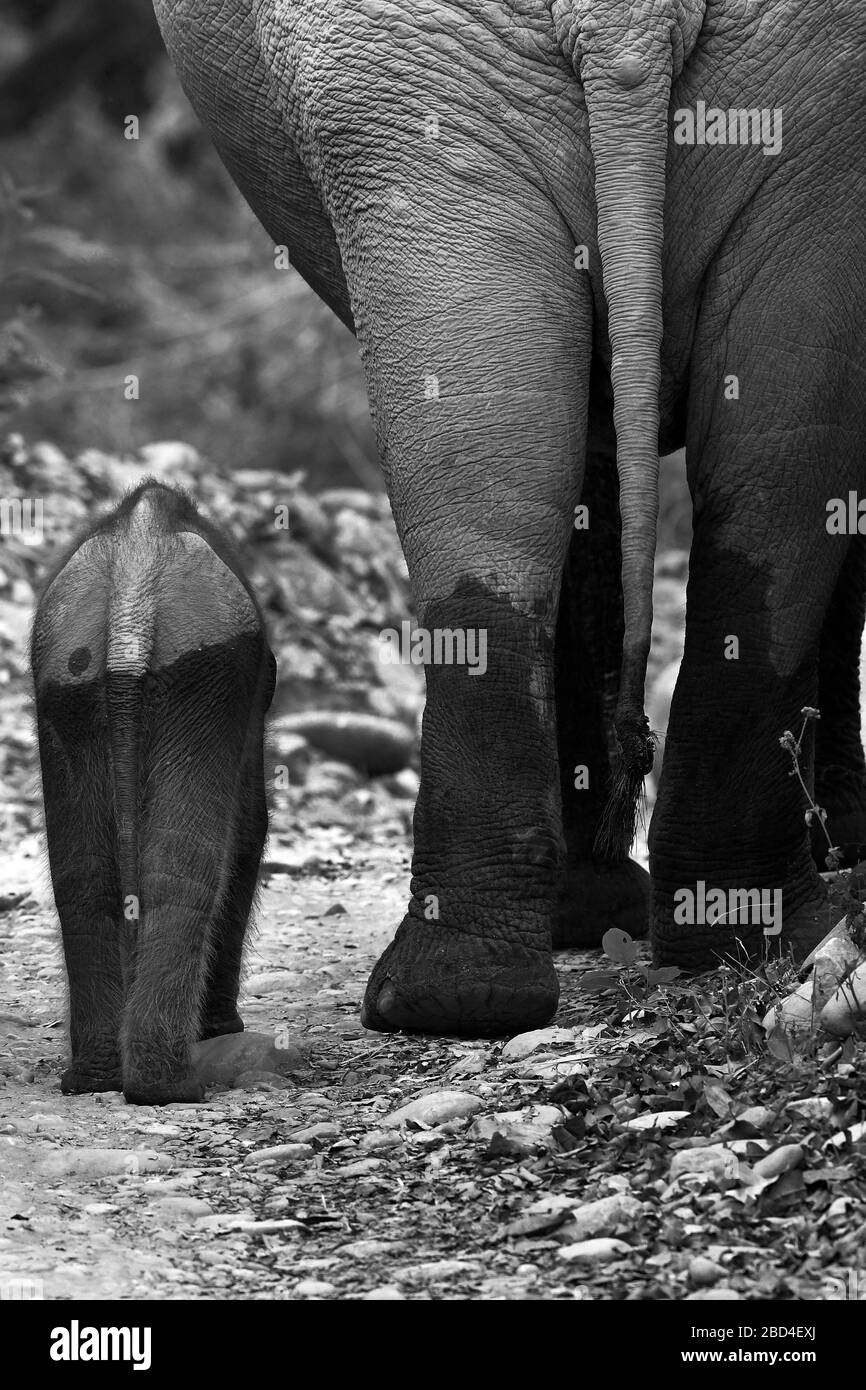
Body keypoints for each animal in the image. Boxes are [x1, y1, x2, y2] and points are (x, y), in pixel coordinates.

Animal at [31, 483, 273, 1100]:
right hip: (202, 673)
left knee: (83, 873)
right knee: (185, 863)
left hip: (71, 677)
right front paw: (220, 1032)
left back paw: (95, 1078)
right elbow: (249, 828)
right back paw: (168, 1085)